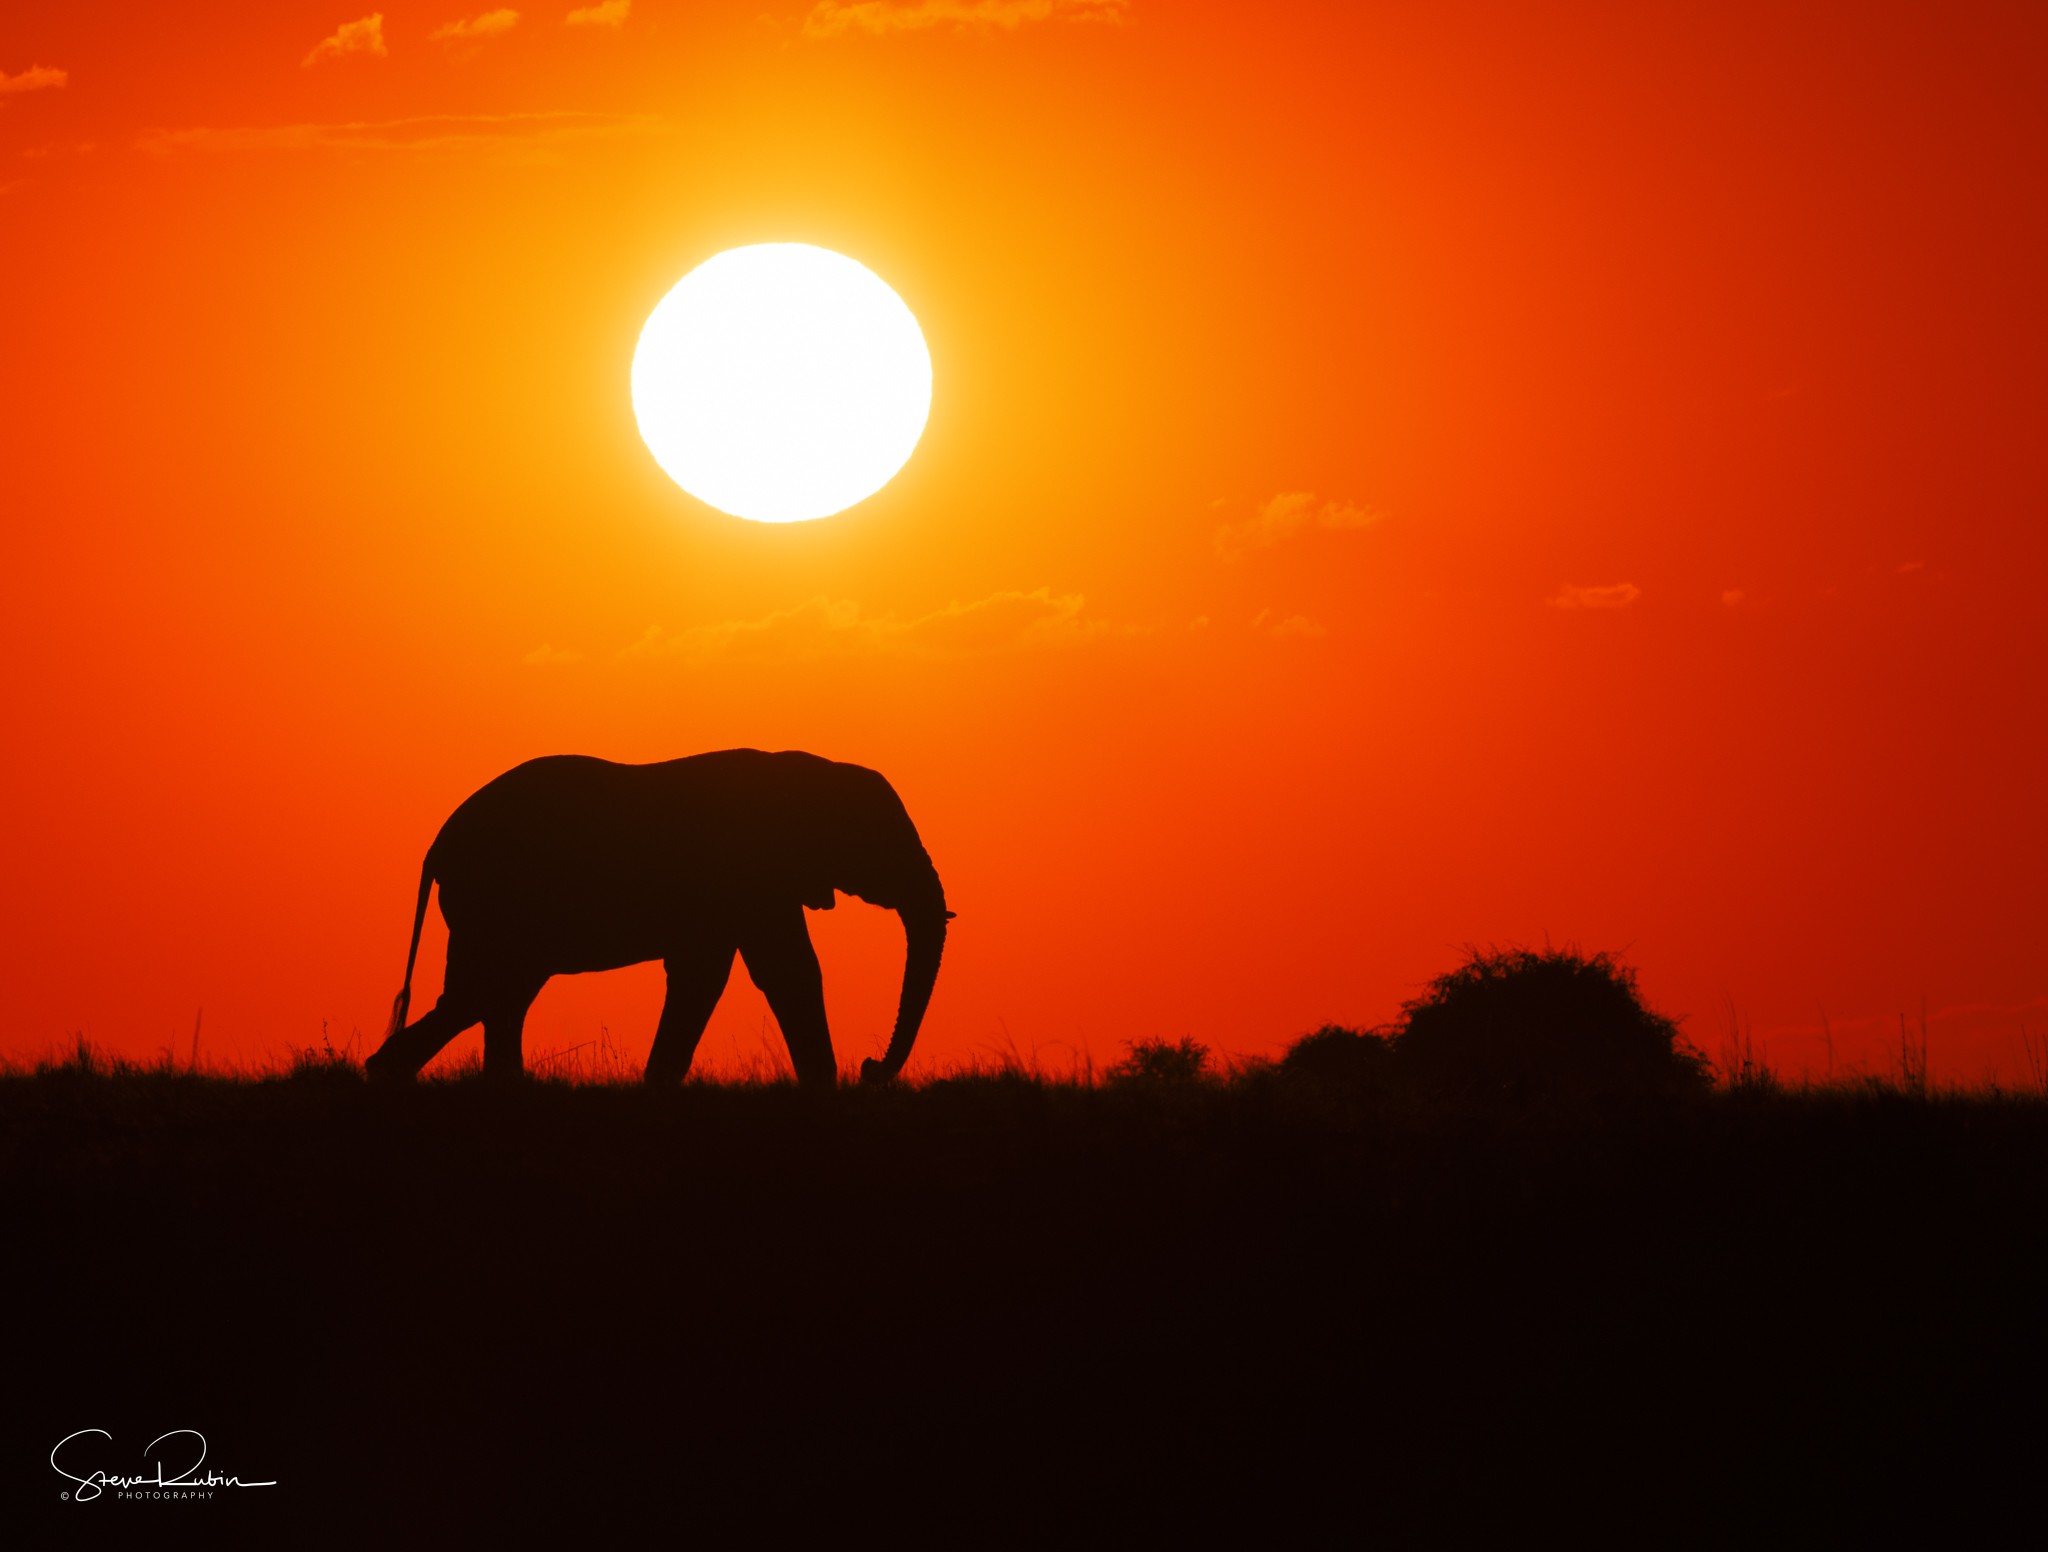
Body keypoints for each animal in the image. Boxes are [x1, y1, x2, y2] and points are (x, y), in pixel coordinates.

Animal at [362, 750, 950, 1088]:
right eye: (882, 844)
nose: (870, 1070)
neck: (809, 771)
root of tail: (438, 843)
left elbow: (734, 972)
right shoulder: (748, 872)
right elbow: (773, 971)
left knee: (495, 993)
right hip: (491, 899)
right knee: (482, 992)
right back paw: (390, 1076)